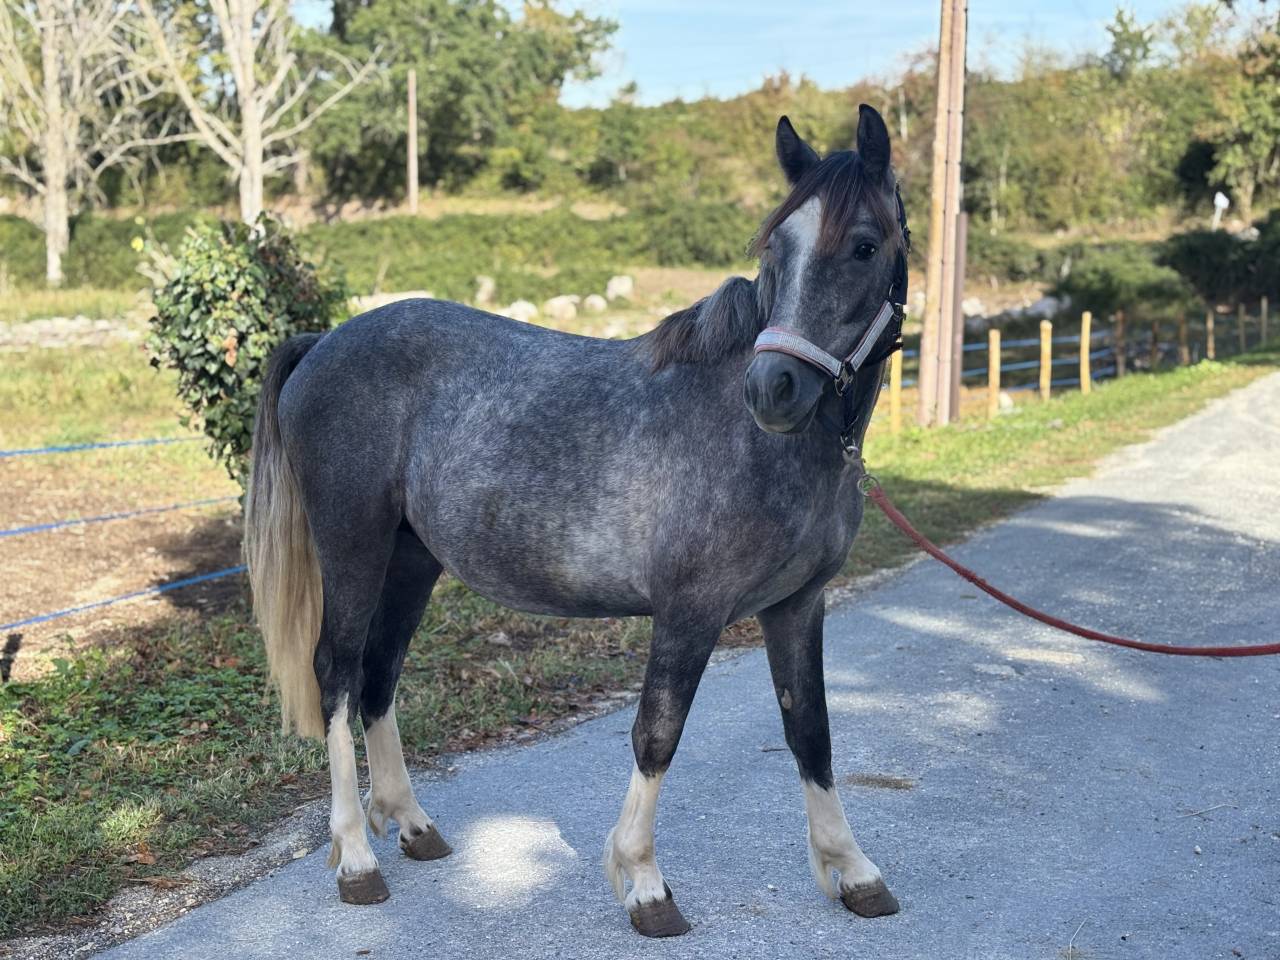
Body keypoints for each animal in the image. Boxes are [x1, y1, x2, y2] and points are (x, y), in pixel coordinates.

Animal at [244, 104, 909, 937]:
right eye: (775, 248)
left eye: (865, 245)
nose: (774, 388)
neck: (764, 444)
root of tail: (321, 344)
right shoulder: (690, 613)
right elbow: (657, 733)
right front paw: (644, 883)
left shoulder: (797, 607)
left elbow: (810, 732)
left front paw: (853, 871)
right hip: (353, 547)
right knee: (335, 673)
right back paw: (357, 859)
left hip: (411, 559)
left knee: (378, 675)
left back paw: (411, 824)